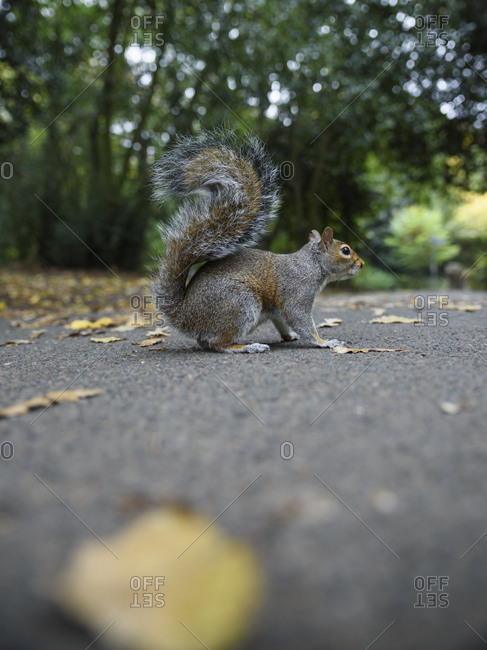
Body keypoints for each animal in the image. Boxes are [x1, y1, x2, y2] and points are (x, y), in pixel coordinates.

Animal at [152, 129, 364, 353]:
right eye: (345, 250)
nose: (361, 264)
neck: (311, 264)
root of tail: (185, 317)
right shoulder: (296, 292)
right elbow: (301, 320)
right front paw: (325, 341)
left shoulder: (276, 311)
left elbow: (282, 322)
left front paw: (291, 336)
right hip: (239, 303)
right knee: (218, 343)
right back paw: (248, 346)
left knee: (205, 341)